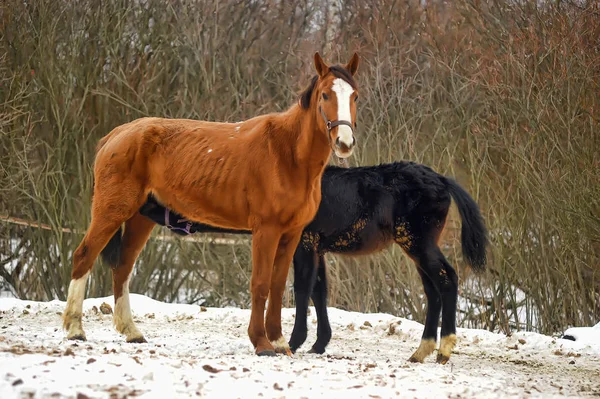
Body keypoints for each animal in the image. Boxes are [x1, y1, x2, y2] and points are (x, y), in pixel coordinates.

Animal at [62, 52, 360, 356]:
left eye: (354, 96)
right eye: (325, 95)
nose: (344, 142)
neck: (286, 154)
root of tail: (117, 135)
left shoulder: (292, 234)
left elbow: (277, 286)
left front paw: (278, 341)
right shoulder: (266, 231)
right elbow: (260, 284)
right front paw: (261, 342)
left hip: (139, 219)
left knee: (122, 267)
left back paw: (131, 331)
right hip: (111, 211)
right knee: (84, 256)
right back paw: (75, 329)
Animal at [138, 161, 486, 364]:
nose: (146, 206)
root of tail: (441, 179)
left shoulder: (303, 244)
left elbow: (302, 289)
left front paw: (293, 341)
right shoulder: (317, 249)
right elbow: (320, 291)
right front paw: (319, 343)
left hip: (419, 243)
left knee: (447, 281)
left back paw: (444, 349)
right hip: (415, 247)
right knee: (432, 290)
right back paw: (422, 350)